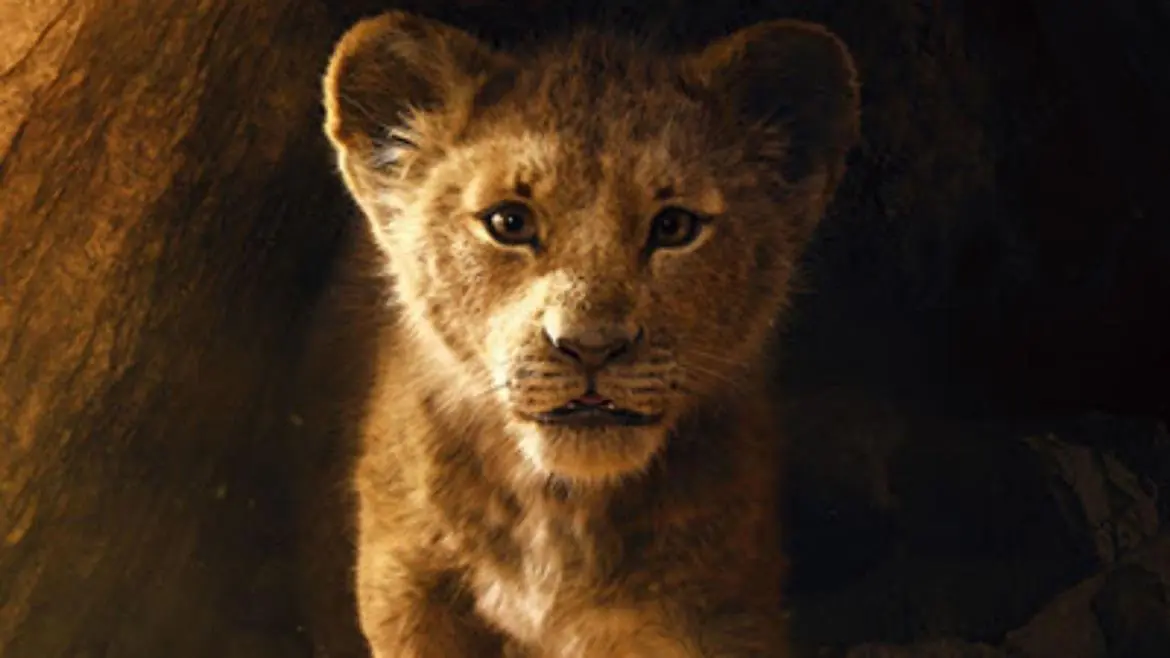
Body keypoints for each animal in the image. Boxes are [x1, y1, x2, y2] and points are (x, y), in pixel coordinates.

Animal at [321, 10, 859, 657]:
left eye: (674, 227)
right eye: (509, 222)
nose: (591, 346)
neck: (559, 511)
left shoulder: (720, 611)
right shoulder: (407, 587)